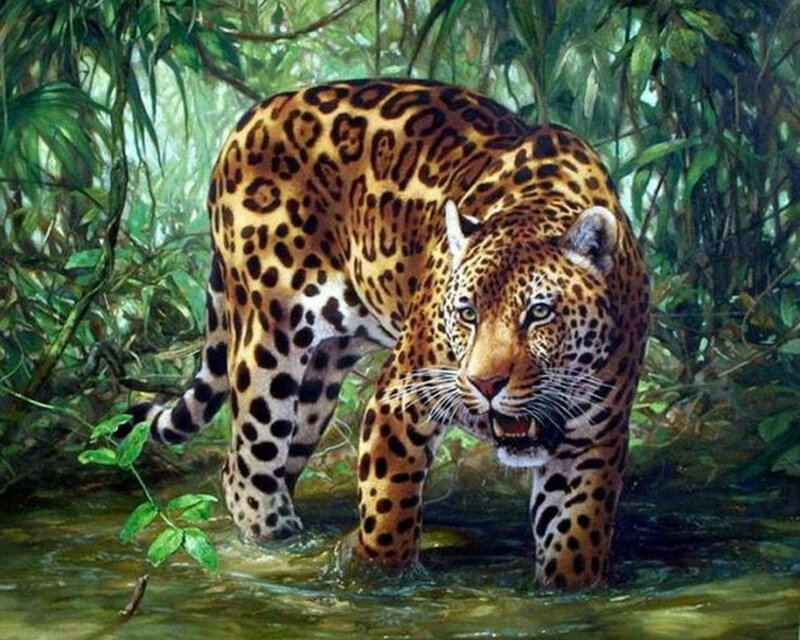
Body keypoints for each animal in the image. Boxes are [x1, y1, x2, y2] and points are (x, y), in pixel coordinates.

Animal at [122, 78, 650, 589]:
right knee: (246, 472)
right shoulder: (401, 399)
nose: (486, 384)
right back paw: (277, 549)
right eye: (466, 313)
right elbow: (388, 508)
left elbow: (574, 539)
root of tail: (252, 117)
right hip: (267, 348)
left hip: (318, 383)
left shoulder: (591, 442)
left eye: (539, 313)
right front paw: (377, 582)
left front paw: (568, 592)